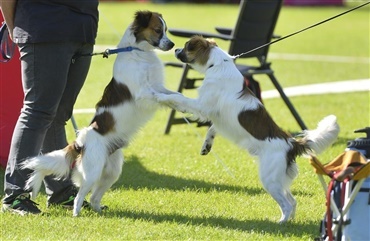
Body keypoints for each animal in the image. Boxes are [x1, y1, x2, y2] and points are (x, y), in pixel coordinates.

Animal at [22, 10, 177, 217]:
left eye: (165, 30)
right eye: (158, 30)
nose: (173, 45)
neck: (137, 52)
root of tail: (80, 142)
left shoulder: (157, 87)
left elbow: (173, 95)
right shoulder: (144, 93)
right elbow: (169, 98)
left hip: (112, 172)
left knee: (95, 197)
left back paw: (99, 211)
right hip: (93, 172)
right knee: (80, 195)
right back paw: (76, 214)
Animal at [154, 36, 342, 224]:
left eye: (187, 47)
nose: (175, 49)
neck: (217, 65)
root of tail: (291, 142)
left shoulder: (203, 106)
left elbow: (178, 97)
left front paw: (160, 96)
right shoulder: (217, 119)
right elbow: (211, 129)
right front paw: (206, 146)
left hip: (269, 178)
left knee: (287, 204)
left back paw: (280, 223)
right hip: (279, 179)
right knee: (293, 200)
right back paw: (289, 221)